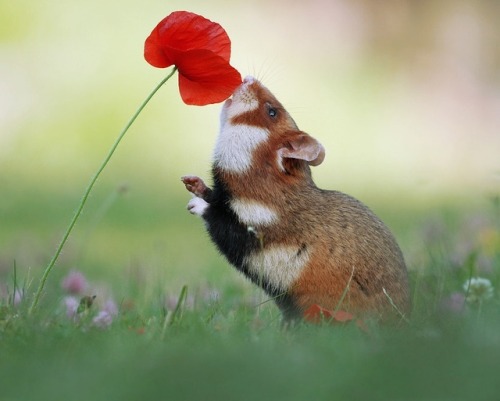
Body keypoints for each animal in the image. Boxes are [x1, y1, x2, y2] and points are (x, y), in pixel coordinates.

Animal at [182, 74, 408, 318]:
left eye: (272, 112)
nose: (248, 78)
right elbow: (213, 196)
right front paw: (191, 182)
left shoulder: (253, 229)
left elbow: (217, 216)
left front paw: (194, 204)